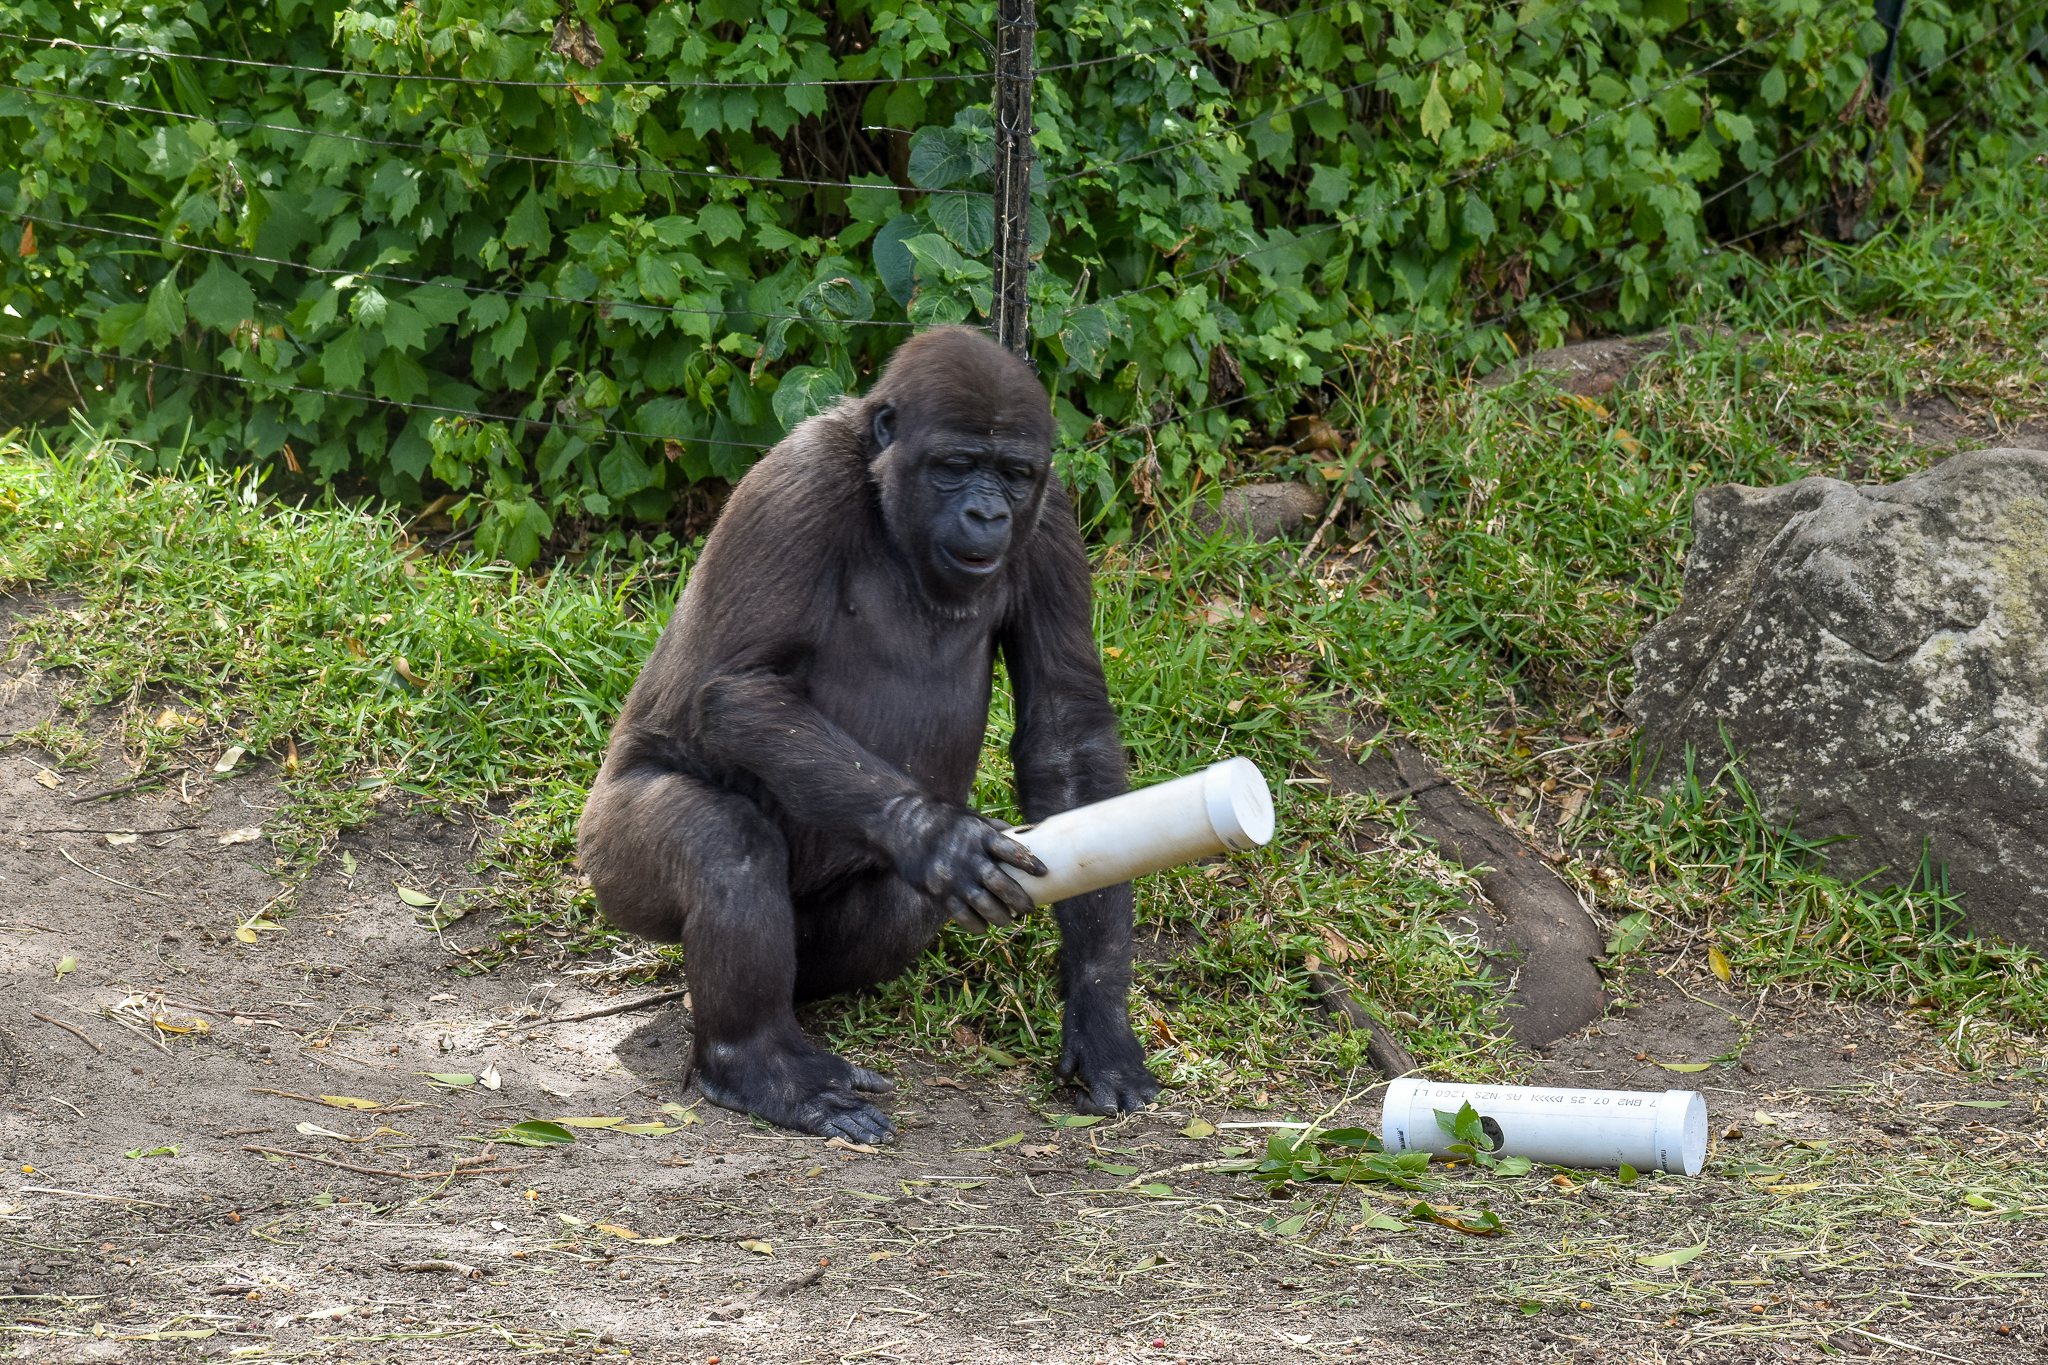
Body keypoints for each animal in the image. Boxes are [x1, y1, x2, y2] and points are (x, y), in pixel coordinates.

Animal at [576, 326, 1161, 1143]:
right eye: (955, 467)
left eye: (1013, 475)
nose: (987, 516)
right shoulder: (798, 482)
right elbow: (741, 687)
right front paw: (936, 835)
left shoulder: (1049, 521)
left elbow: (1066, 734)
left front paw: (1100, 1007)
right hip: (607, 866)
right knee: (724, 843)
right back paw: (754, 1063)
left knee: (898, 906)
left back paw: (786, 1004)